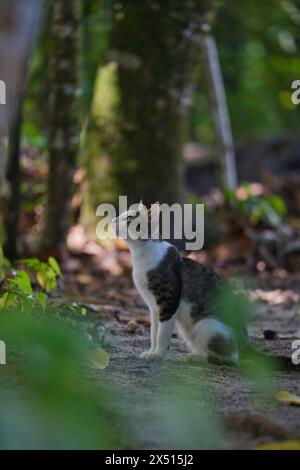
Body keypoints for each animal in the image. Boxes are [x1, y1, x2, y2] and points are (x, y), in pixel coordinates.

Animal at [111, 200, 247, 366]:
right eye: (121, 215)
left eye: (129, 218)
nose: (113, 220)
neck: (141, 254)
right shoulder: (153, 307)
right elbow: (154, 333)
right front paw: (151, 351)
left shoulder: (168, 301)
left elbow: (162, 334)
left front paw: (158, 355)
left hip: (206, 325)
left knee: (229, 359)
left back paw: (198, 358)